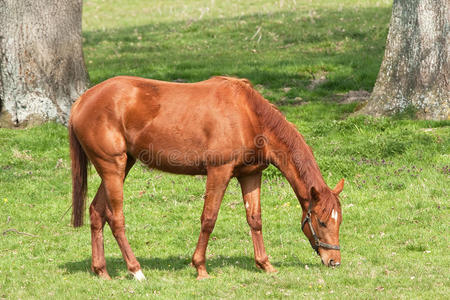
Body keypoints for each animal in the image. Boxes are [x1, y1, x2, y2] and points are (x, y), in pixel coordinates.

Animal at [69, 75, 344, 282]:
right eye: (321, 222)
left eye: (338, 220)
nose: (334, 261)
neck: (248, 114)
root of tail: (82, 100)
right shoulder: (219, 171)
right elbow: (209, 219)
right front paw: (200, 267)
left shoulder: (250, 174)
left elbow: (254, 219)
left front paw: (265, 264)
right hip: (113, 168)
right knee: (116, 218)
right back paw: (136, 270)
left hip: (122, 166)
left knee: (97, 212)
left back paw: (101, 271)